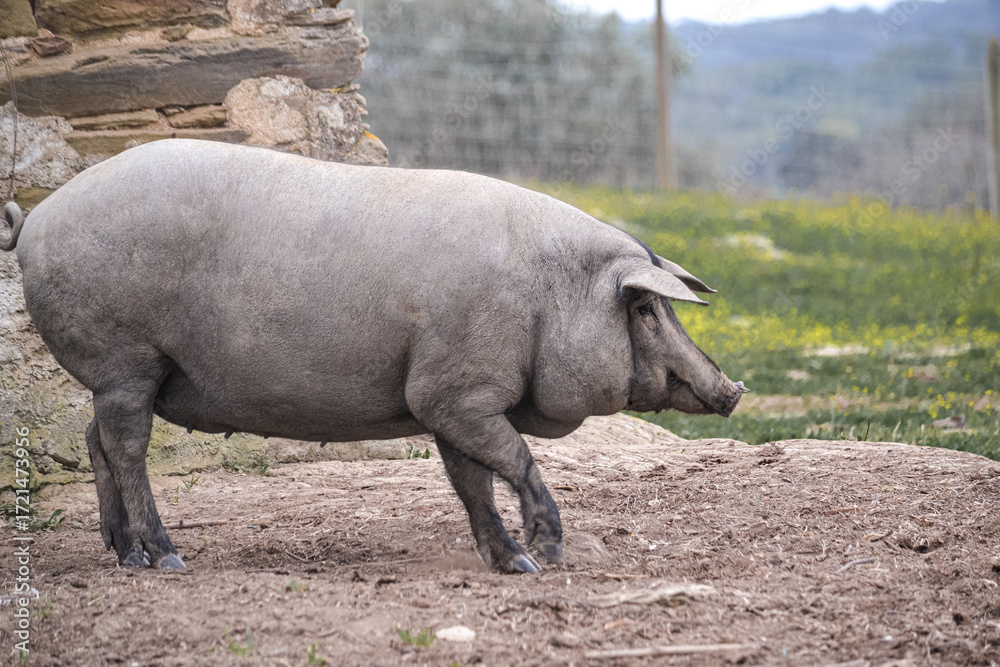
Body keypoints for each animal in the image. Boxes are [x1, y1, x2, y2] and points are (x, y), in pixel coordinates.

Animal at [1, 139, 744, 573]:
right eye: (644, 308)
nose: (733, 389)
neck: (545, 294)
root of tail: (37, 219)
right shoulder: (457, 390)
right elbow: (514, 459)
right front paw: (549, 555)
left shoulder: (442, 394)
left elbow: (471, 479)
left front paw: (513, 564)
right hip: (124, 356)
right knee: (126, 447)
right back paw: (169, 558)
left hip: (120, 374)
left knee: (96, 441)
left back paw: (125, 556)